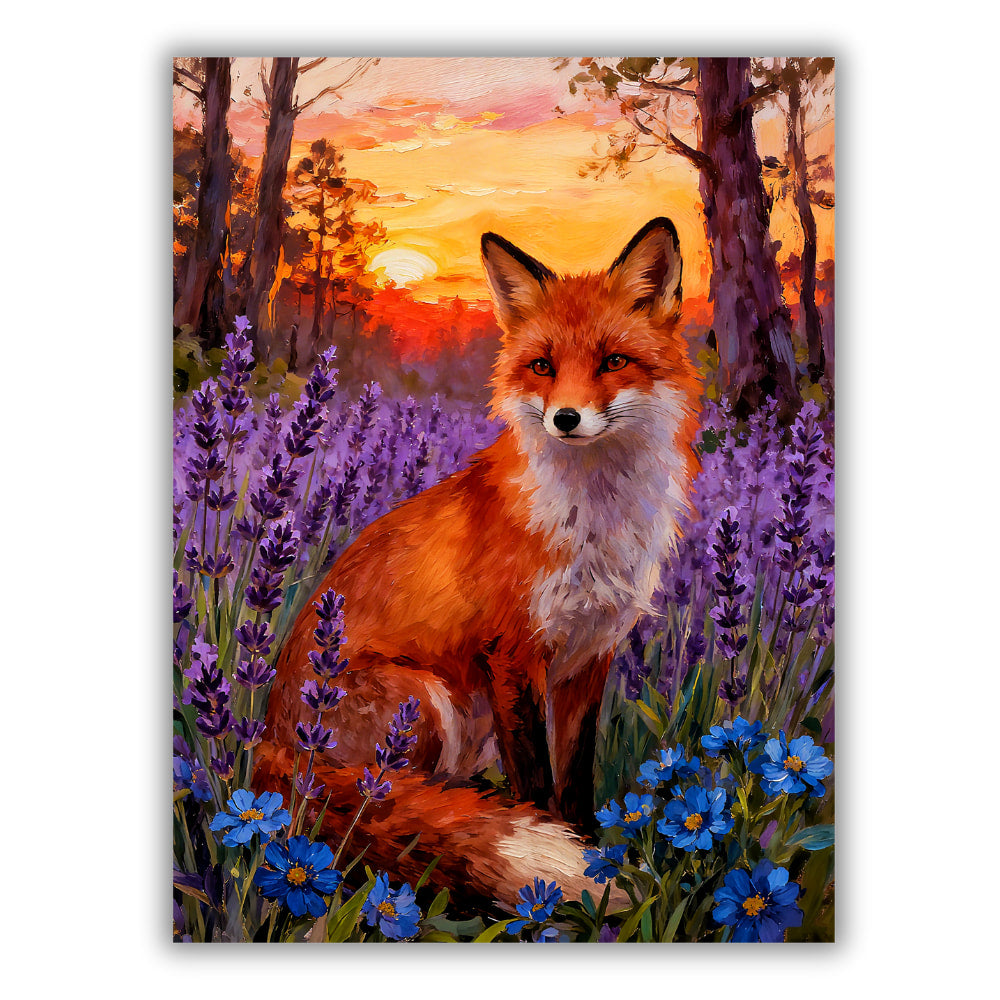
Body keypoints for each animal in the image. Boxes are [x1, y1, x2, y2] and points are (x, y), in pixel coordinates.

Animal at [254, 217, 703, 907]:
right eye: (543, 367)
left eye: (613, 361)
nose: (565, 418)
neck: (592, 521)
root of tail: (274, 750)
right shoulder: (513, 652)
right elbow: (538, 783)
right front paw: (553, 881)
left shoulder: (589, 654)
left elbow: (575, 779)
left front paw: (591, 857)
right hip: (429, 701)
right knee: (380, 808)